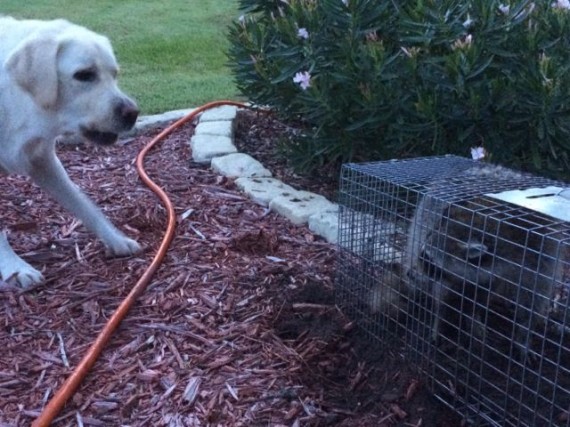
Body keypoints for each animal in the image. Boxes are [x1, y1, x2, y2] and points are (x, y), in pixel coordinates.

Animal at [0, 18, 141, 290]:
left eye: (114, 74)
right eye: (84, 75)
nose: (133, 113)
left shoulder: (43, 161)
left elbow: (84, 204)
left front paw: (115, 239)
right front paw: (15, 268)